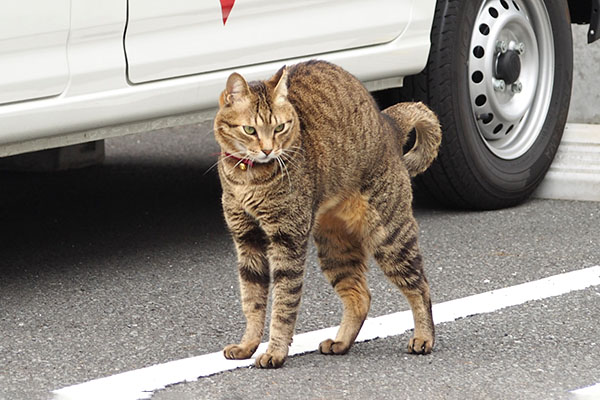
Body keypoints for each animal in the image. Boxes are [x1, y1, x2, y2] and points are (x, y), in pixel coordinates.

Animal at [213, 60, 438, 368]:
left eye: (280, 127)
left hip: (389, 237)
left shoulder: (287, 239)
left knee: (421, 287)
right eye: (249, 130)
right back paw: (341, 342)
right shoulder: (246, 240)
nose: (268, 150)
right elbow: (253, 300)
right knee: (360, 295)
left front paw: (275, 352)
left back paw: (424, 337)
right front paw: (248, 345)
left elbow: (283, 303)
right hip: (335, 247)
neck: (249, 179)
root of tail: (387, 122)